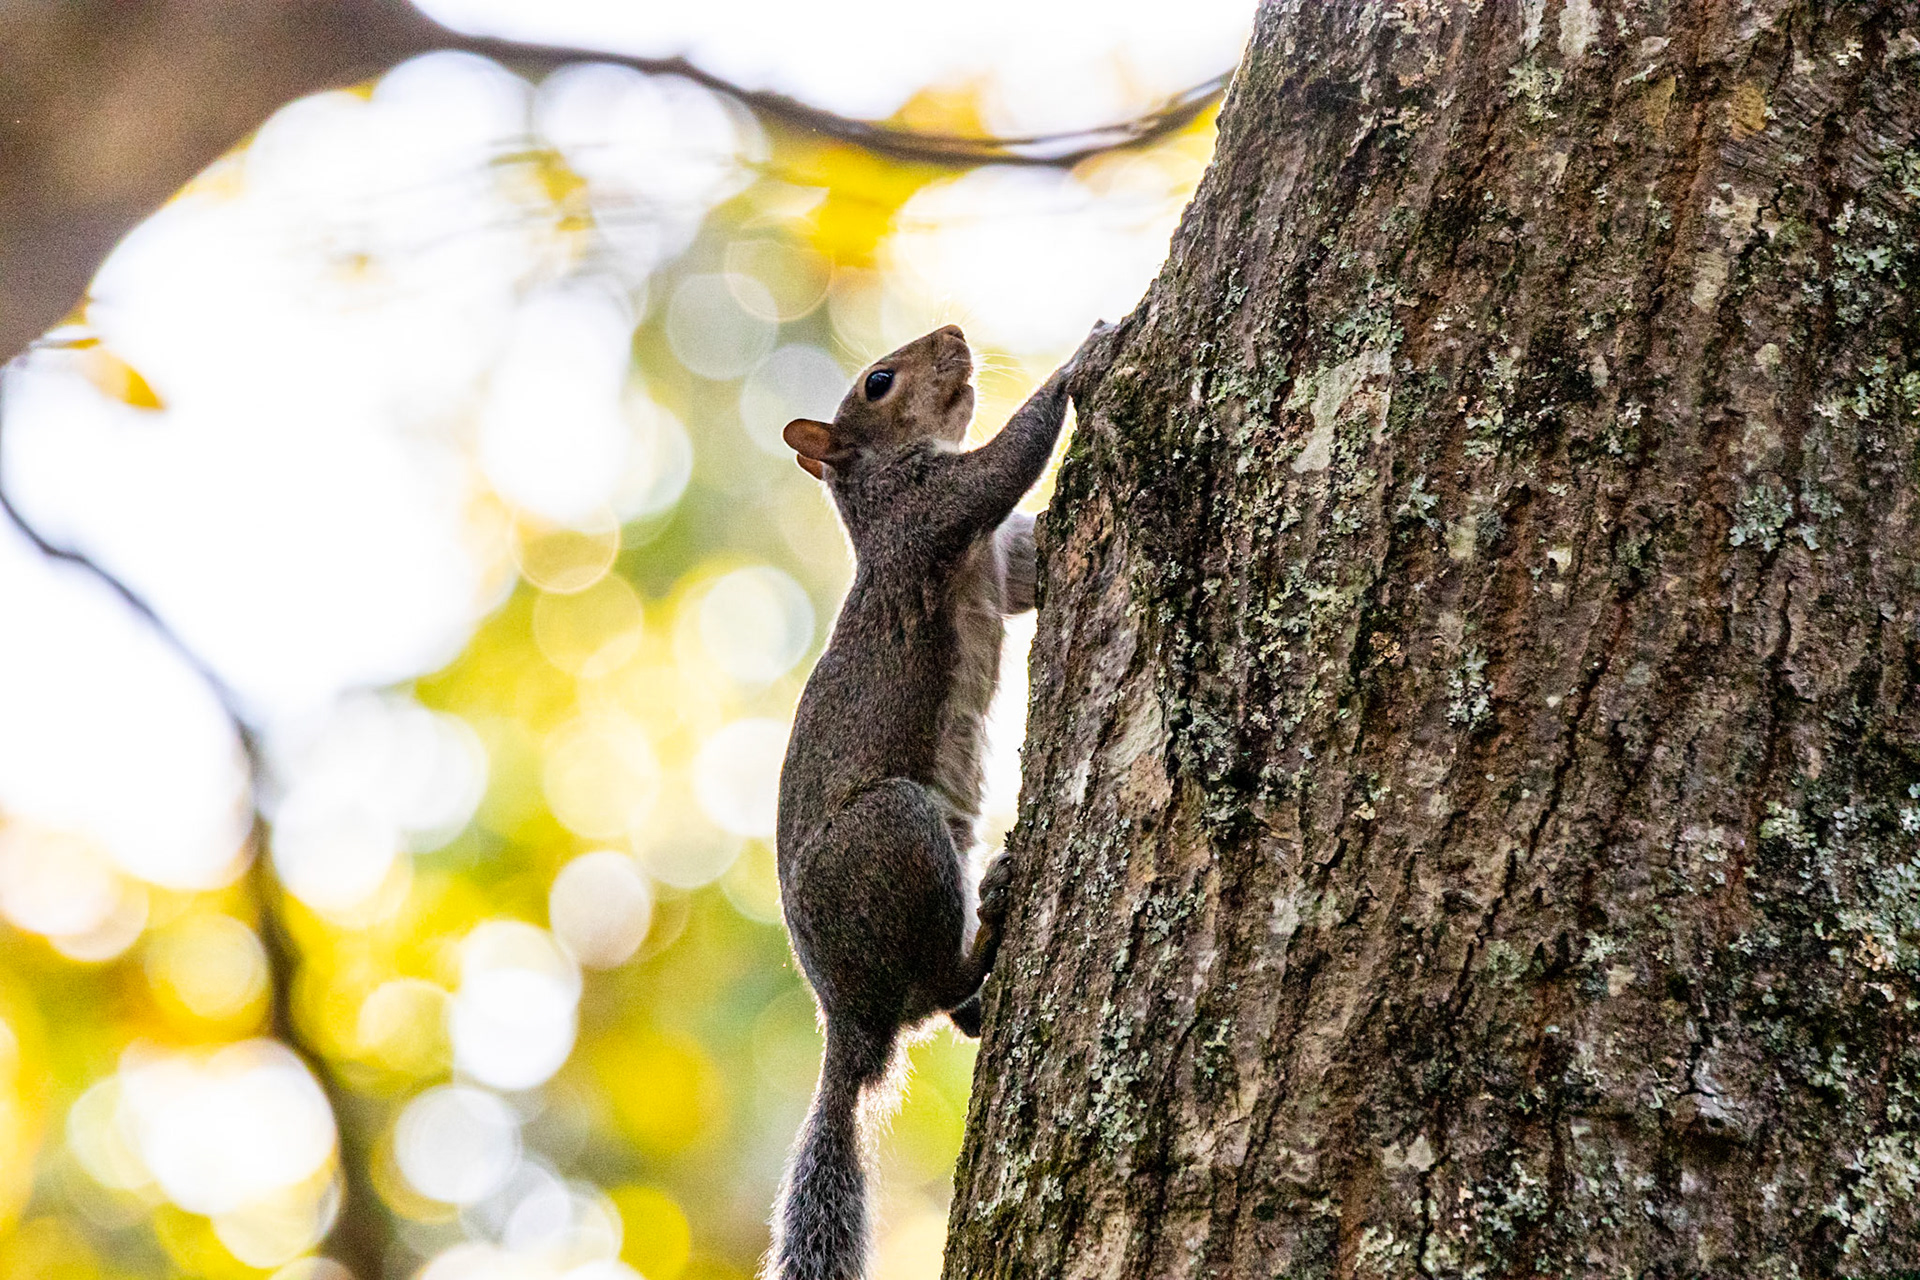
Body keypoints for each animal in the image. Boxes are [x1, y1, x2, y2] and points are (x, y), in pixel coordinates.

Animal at [769, 321, 1101, 1280]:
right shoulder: (932, 512)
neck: (877, 494)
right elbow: (1005, 461)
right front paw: (1088, 352)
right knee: (936, 989)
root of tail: (846, 1019)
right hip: (896, 837)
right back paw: (990, 927)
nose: (954, 331)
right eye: (878, 383)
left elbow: (1031, 559)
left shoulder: (999, 557)